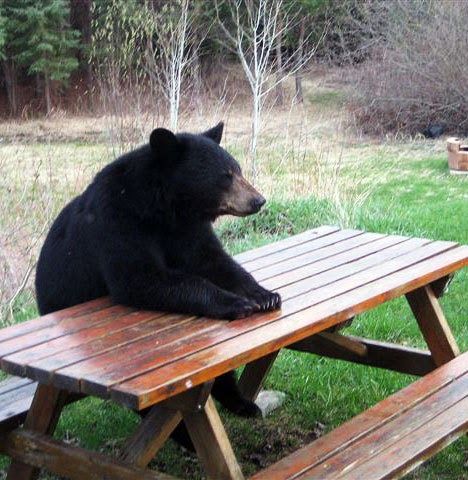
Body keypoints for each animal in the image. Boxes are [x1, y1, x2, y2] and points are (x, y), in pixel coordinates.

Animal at [35, 123, 282, 424]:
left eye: (238, 169)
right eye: (225, 176)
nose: (258, 200)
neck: (164, 209)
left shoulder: (187, 229)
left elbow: (214, 261)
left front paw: (265, 295)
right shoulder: (117, 222)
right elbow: (141, 278)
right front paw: (237, 303)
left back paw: (242, 403)